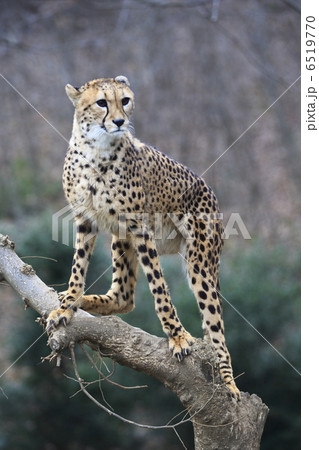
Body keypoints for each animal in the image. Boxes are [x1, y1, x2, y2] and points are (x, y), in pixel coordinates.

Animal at [47, 75, 241, 400]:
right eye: (102, 102)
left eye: (124, 100)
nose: (119, 121)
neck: (96, 148)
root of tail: (210, 191)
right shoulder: (85, 220)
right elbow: (77, 268)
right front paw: (68, 304)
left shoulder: (140, 226)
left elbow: (160, 289)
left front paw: (178, 336)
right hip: (120, 237)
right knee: (123, 297)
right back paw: (84, 300)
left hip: (200, 262)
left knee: (217, 331)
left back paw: (229, 383)